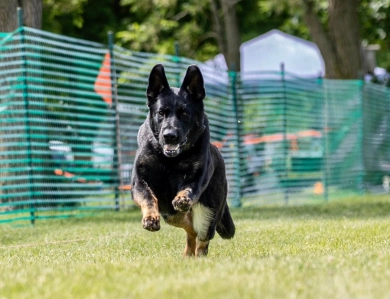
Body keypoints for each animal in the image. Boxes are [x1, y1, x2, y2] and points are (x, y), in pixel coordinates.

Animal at [131, 64, 235, 256]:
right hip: (171, 215)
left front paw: (182, 197)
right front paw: (150, 218)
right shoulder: (139, 183)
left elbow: (188, 189)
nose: (169, 135)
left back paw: (198, 256)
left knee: (202, 237)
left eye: (185, 113)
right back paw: (188, 254)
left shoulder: (195, 180)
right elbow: (148, 198)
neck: (170, 161)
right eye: (161, 113)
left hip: (209, 212)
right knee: (190, 229)